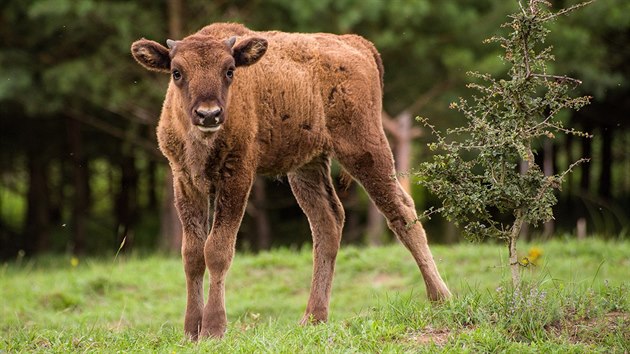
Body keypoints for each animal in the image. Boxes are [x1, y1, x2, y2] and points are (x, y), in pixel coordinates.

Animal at [131, 22, 452, 340]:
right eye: (177, 72)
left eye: (230, 70)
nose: (208, 114)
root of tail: (357, 43)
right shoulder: (185, 180)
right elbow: (192, 255)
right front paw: (190, 331)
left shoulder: (238, 177)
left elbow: (217, 250)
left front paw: (213, 328)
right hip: (307, 166)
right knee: (328, 222)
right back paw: (313, 318)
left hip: (365, 148)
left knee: (401, 211)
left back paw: (441, 298)